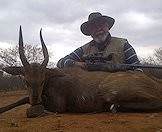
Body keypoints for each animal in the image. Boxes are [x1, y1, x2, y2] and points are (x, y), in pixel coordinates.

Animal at [0, 26, 162, 117]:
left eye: (42, 80)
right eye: (26, 81)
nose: (36, 100)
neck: (53, 78)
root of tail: (155, 82)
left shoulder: (58, 105)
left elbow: (29, 106)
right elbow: (22, 100)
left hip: (109, 90)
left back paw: (113, 108)